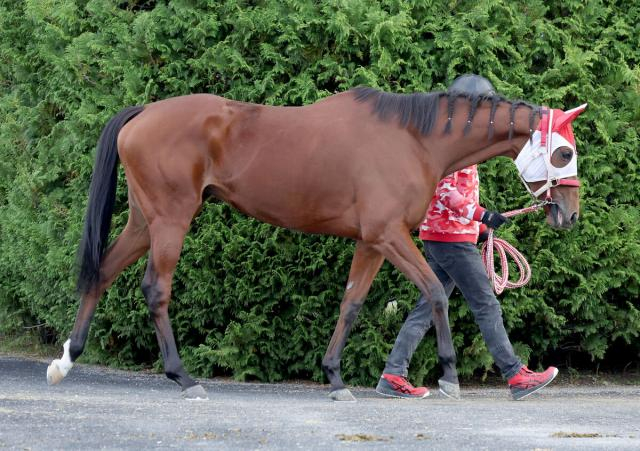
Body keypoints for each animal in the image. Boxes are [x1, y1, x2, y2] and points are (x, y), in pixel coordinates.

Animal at [46, 86, 584, 400]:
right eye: (564, 152)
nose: (569, 213)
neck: (413, 138)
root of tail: (142, 114)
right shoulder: (390, 235)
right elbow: (434, 292)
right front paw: (449, 375)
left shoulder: (372, 242)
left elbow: (351, 303)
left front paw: (335, 377)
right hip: (170, 221)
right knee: (155, 289)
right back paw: (183, 377)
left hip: (144, 222)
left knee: (102, 273)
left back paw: (66, 360)